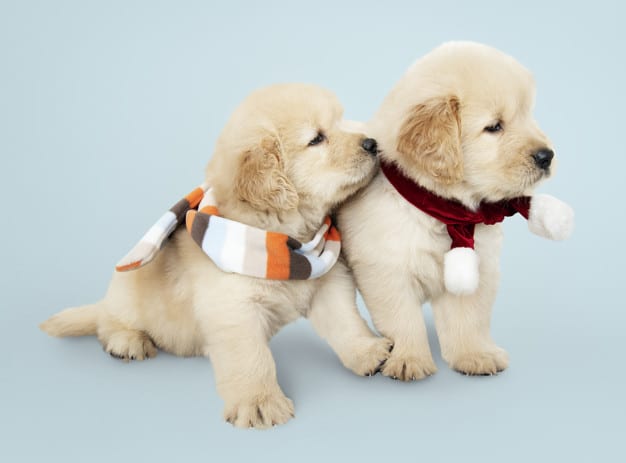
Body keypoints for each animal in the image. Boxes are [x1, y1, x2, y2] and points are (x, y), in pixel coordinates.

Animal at [40, 82, 390, 428]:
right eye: (316, 138)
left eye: (342, 120)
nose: (372, 143)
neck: (284, 239)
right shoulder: (234, 308)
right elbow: (252, 358)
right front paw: (259, 402)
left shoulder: (328, 285)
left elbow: (346, 321)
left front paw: (369, 352)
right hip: (127, 289)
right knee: (108, 320)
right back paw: (127, 340)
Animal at [336, 40, 572, 380]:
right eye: (494, 127)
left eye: (528, 115)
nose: (547, 155)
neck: (445, 212)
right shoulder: (386, 271)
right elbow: (402, 321)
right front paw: (409, 359)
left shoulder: (479, 267)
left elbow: (468, 320)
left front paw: (474, 355)